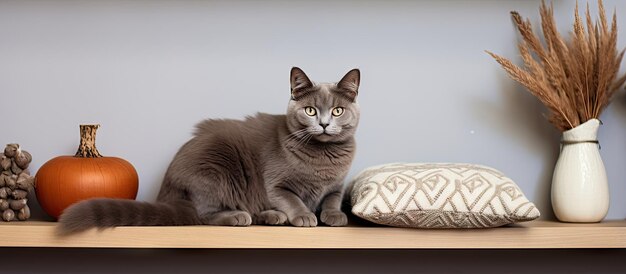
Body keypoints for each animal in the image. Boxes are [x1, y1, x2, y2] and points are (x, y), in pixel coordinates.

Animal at [59, 67, 360, 232]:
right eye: (310, 110)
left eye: (337, 110)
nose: (324, 123)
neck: (323, 157)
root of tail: (167, 191)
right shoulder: (276, 184)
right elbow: (292, 198)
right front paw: (304, 215)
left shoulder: (336, 185)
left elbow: (332, 198)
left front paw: (334, 215)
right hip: (216, 169)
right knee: (202, 215)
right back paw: (242, 216)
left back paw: (271, 217)